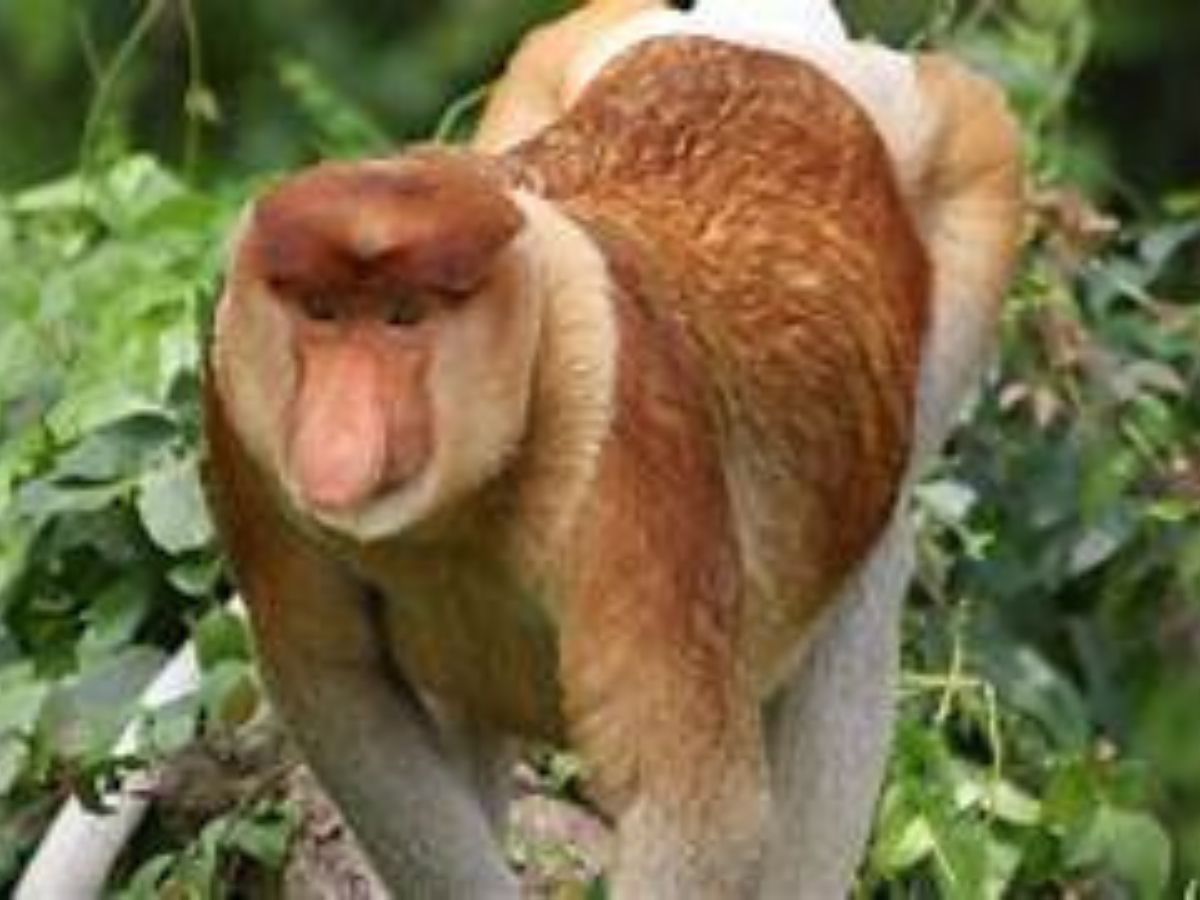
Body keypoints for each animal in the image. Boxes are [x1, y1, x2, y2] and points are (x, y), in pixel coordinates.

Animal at [203, 1, 1023, 897]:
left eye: (402, 316)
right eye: (321, 311)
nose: (339, 435)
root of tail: (776, 49)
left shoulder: (628, 444)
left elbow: (690, 804)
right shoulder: (242, 427)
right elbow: (337, 683)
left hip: (969, 171)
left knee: (865, 586)